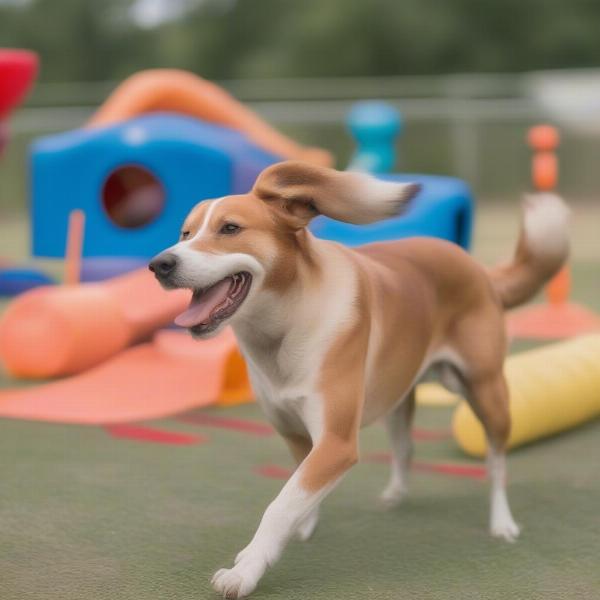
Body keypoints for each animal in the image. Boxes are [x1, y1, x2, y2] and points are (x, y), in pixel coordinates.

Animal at [149, 162, 568, 596]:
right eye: (184, 233)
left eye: (230, 228)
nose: (160, 264)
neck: (286, 323)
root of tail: (479, 269)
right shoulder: (295, 433)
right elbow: (296, 489)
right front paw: (301, 527)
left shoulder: (337, 442)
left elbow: (280, 505)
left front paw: (245, 571)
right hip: (398, 397)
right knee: (406, 447)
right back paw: (396, 493)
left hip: (487, 393)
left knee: (496, 462)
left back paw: (502, 522)